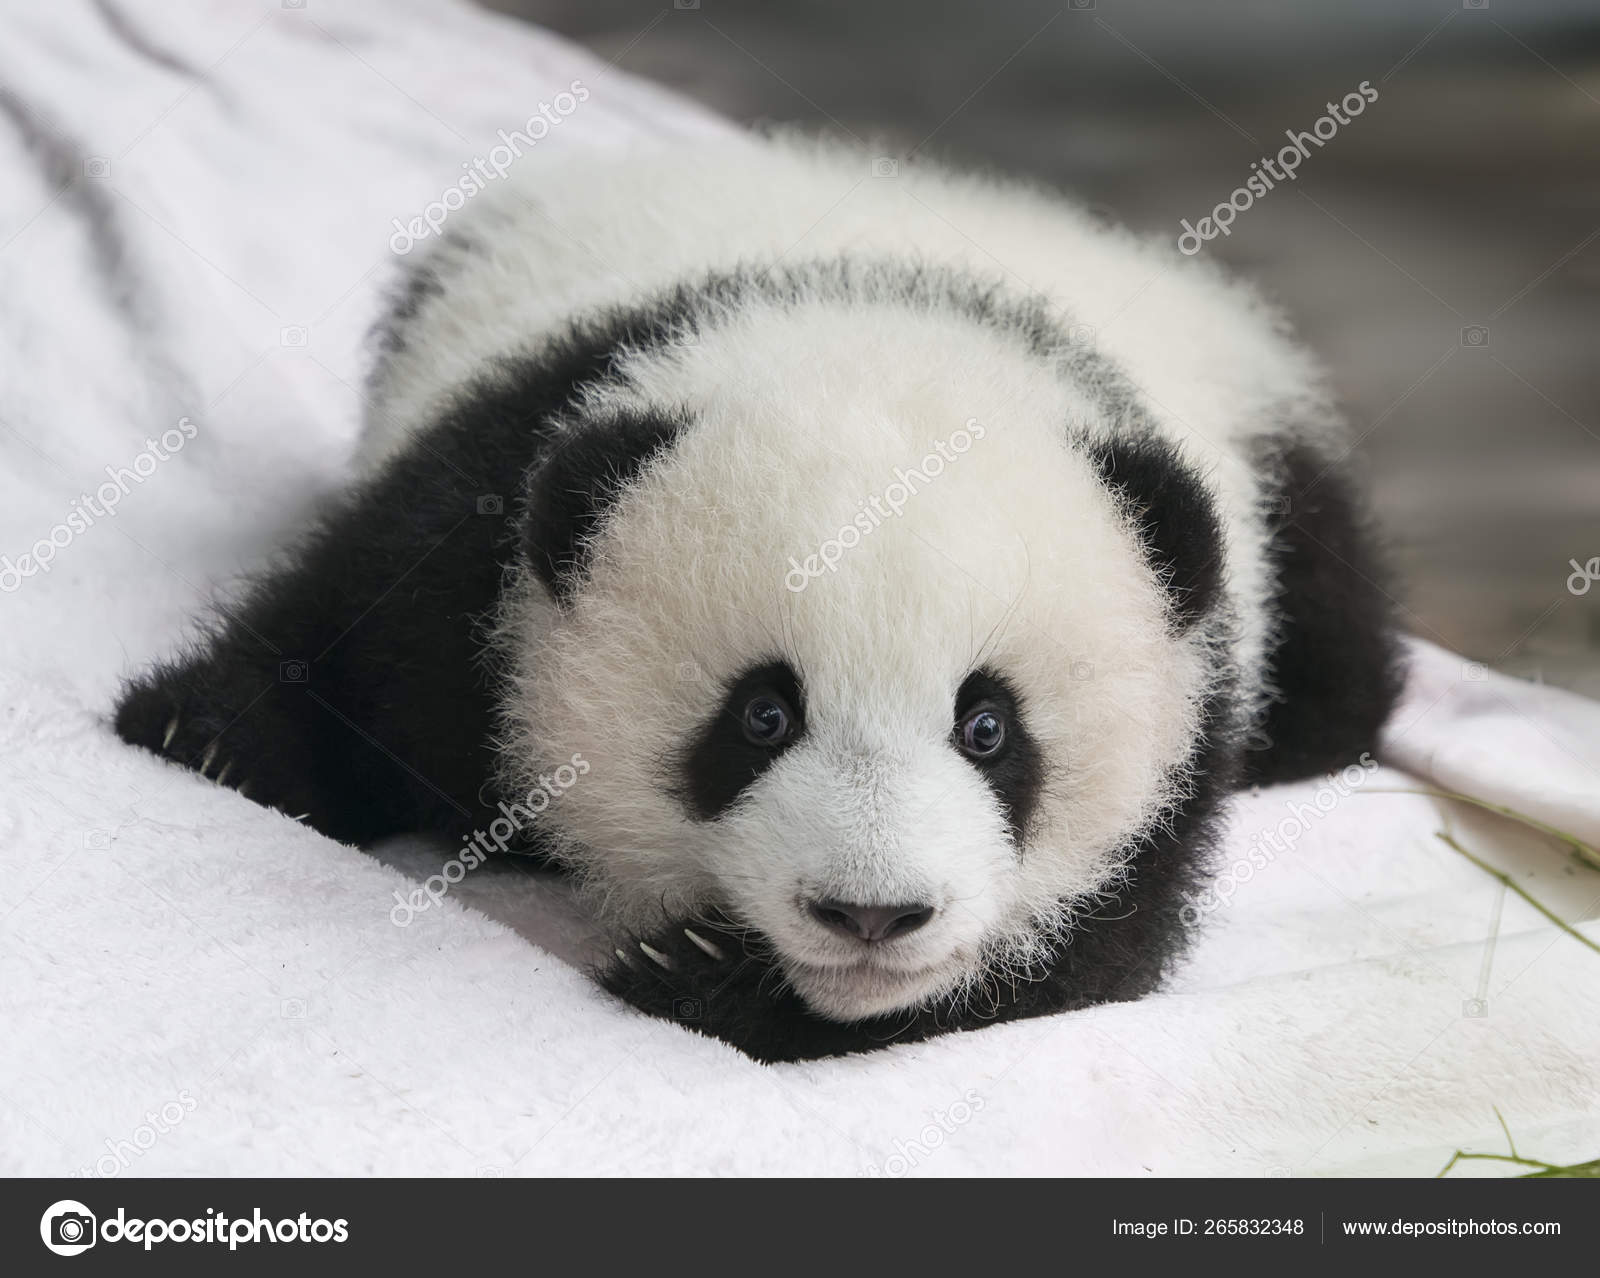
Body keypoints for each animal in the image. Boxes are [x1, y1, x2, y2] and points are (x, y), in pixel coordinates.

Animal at [114, 133, 1402, 1062]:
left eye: (989, 729)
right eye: (761, 716)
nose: (871, 916)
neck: (878, 319)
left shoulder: (1186, 706)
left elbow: (1083, 956)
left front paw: (699, 977)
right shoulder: (518, 478)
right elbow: (357, 629)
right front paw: (208, 734)